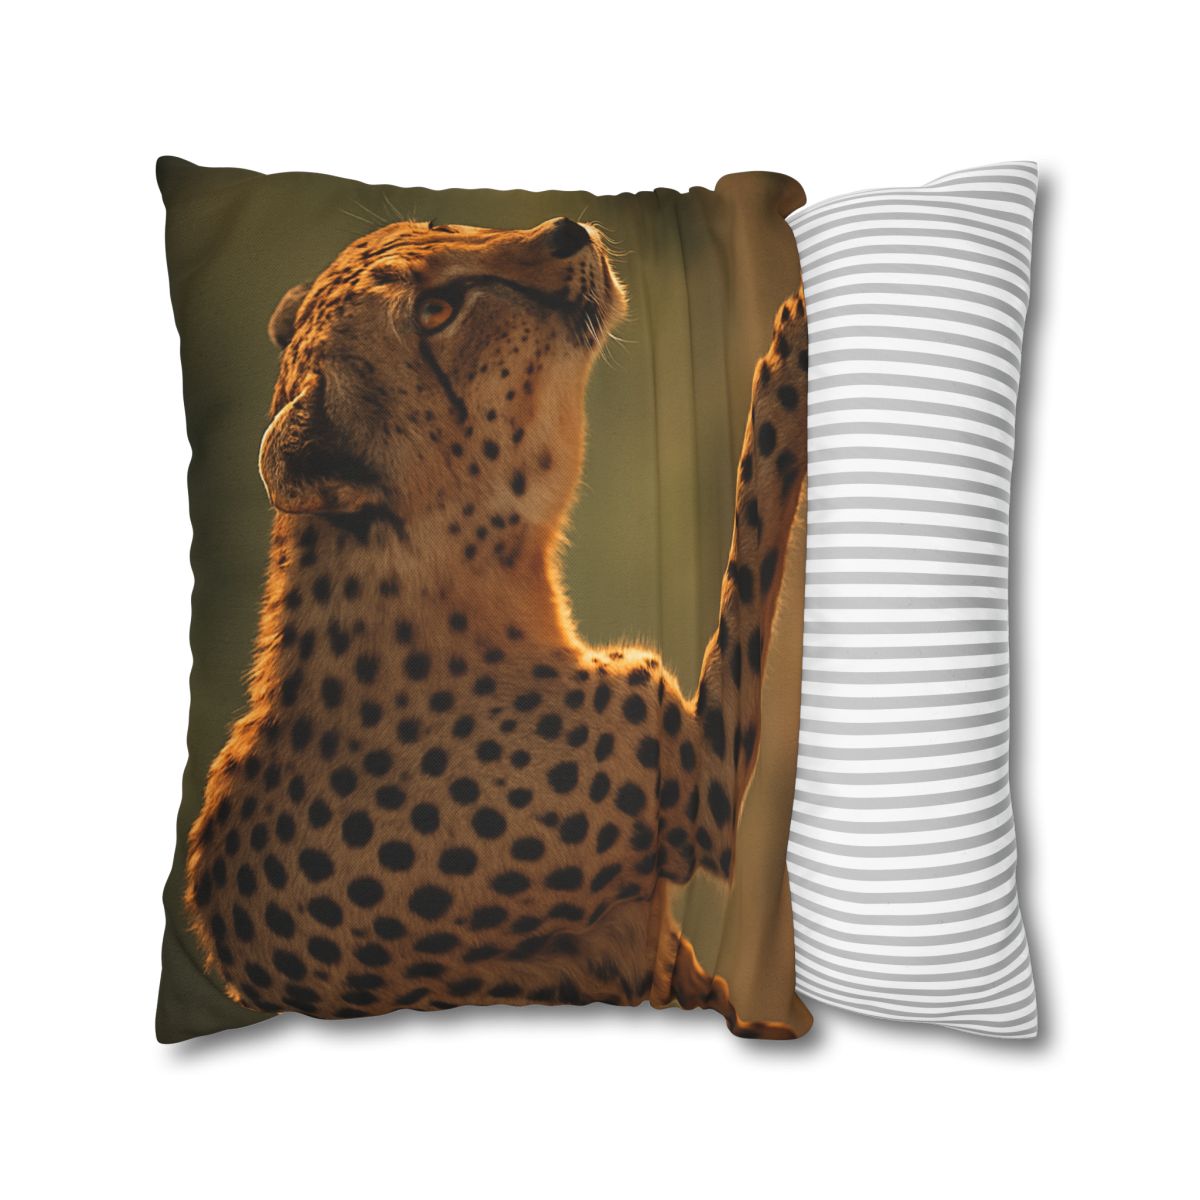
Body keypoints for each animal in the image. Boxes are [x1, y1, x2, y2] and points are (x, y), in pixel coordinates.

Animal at [184, 214, 809, 1037]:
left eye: (437, 224)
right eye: (434, 313)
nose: (567, 230)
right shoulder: (697, 804)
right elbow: (755, 514)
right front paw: (793, 347)